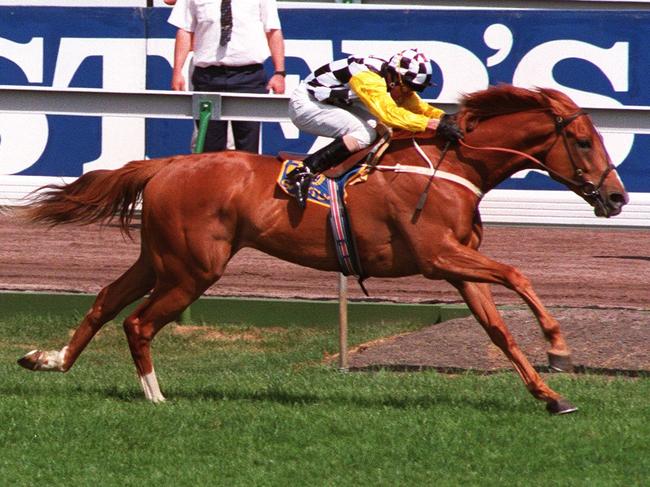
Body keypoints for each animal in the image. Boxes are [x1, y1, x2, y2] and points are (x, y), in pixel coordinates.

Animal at [17, 86, 628, 414]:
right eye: (582, 141)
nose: (618, 197)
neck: (454, 164)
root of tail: (165, 164)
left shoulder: (459, 269)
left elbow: (498, 331)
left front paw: (551, 396)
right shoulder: (438, 256)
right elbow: (519, 273)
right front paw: (558, 346)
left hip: (160, 258)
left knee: (105, 300)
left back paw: (50, 358)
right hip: (193, 269)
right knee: (138, 322)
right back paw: (155, 396)